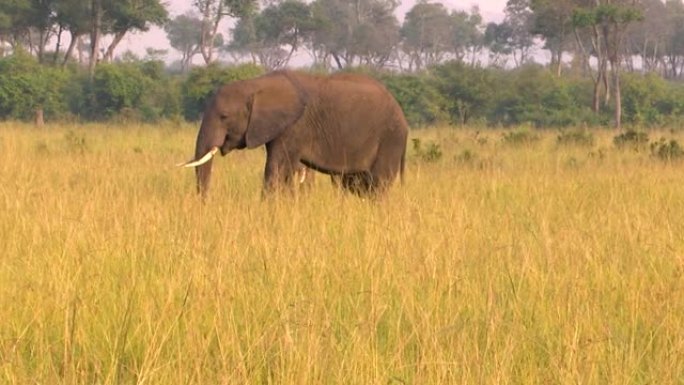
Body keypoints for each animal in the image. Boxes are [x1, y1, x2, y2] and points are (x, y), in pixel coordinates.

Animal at [179, 69, 408, 196]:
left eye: (224, 116)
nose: (206, 202)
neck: (255, 84)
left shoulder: (295, 127)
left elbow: (276, 169)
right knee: (357, 185)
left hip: (390, 138)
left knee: (378, 186)